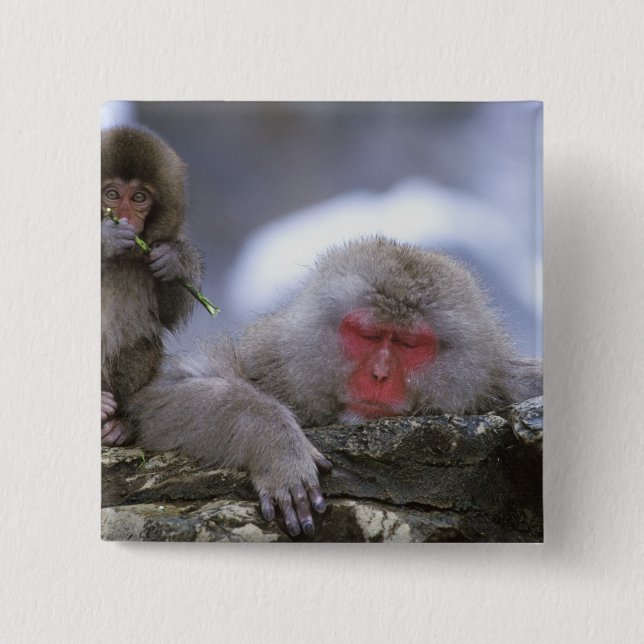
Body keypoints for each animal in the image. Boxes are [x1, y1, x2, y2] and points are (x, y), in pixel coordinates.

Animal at [101, 126, 203, 447]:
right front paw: (107, 237)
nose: (124, 218)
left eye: (139, 197)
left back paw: (120, 424)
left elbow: (166, 315)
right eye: (111, 194)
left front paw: (174, 262)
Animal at [128, 237, 542, 537]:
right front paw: (277, 445)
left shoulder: (508, 380)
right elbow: (159, 393)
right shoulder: (271, 361)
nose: (379, 376)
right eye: (367, 334)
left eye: (409, 344)